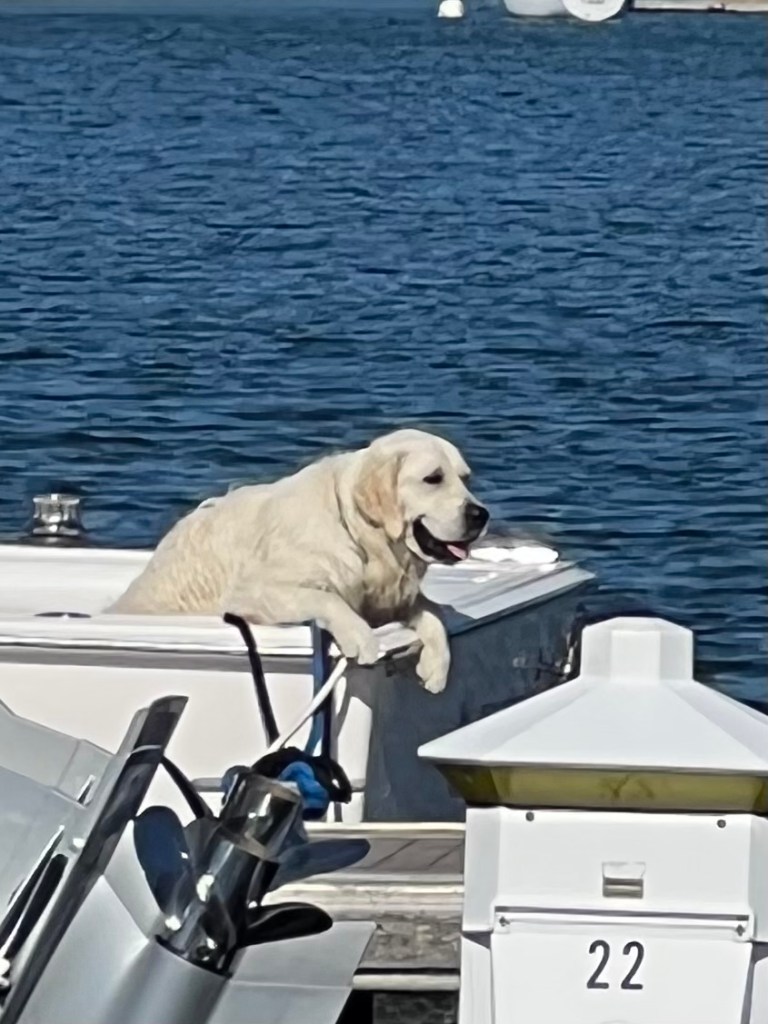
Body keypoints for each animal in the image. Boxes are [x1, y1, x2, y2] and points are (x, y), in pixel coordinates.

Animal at [108, 429, 488, 693]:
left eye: (465, 478)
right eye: (433, 478)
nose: (480, 515)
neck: (357, 532)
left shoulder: (390, 597)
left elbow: (434, 613)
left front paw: (436, 667)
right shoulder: (253, 591)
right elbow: (327, 598)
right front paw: (363, 639)